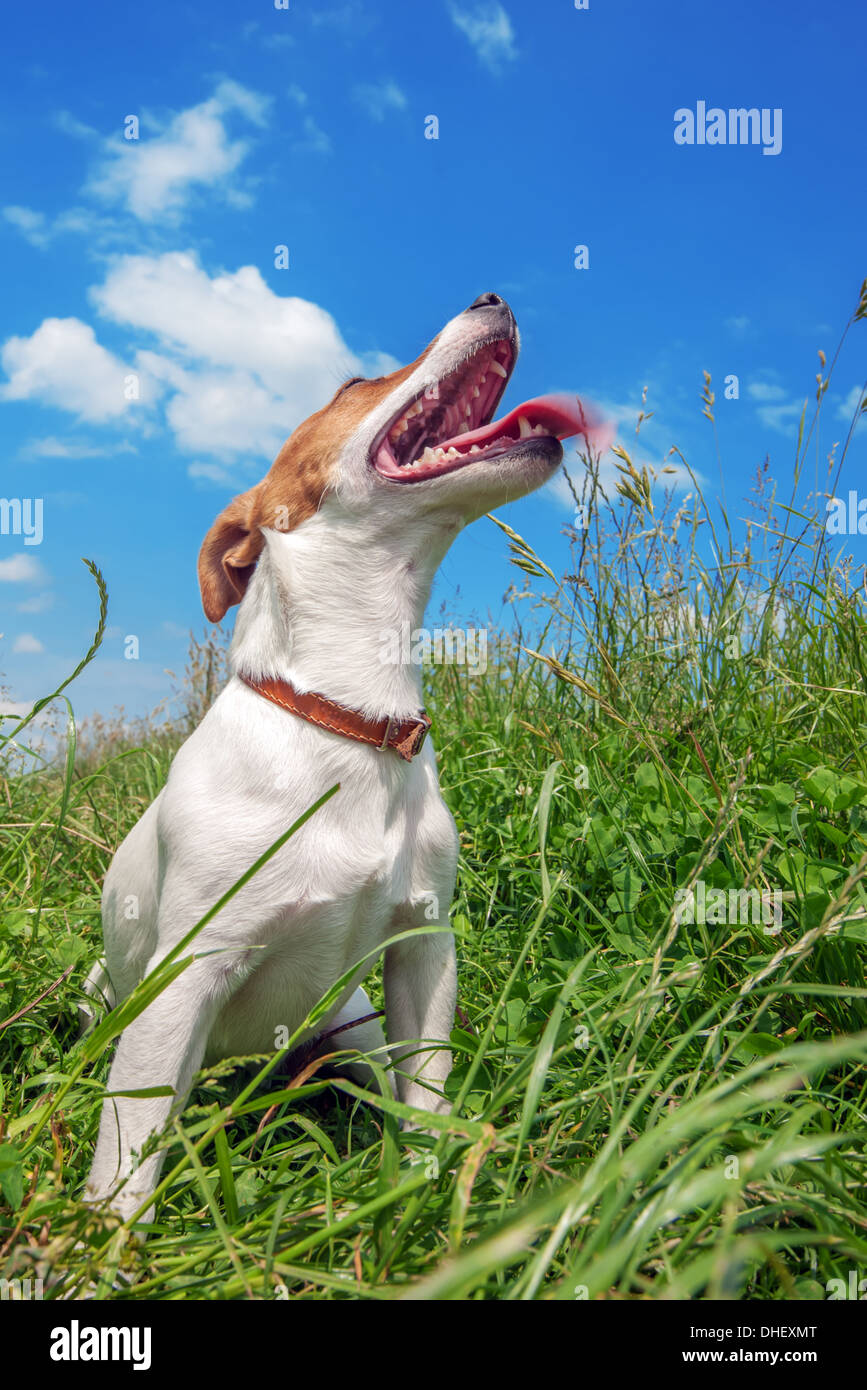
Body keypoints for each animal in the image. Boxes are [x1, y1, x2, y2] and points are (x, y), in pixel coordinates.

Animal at [84, 290, 605, 1217]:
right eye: (352, 382)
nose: (493, 296)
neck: (349, 715)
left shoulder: (423, 946)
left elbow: (427, 1091)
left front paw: (429, 1194)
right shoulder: (180, 983)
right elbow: (126, 1152)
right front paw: (96, 1244)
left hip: (354, 1020)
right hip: (105, 998)